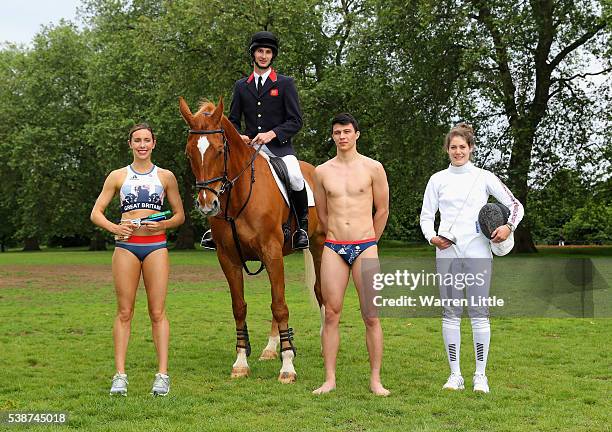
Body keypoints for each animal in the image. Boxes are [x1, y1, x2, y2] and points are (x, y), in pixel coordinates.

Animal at [179, 97, 326, 382]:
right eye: (190, 153)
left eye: (218, 151)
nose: (207, 205)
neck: (238, 196)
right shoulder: (229, 258)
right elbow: (241, 307)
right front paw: (241, 362)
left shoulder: (270, 251)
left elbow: (280, 306)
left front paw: (287, 366)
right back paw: (270, 349)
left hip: (318, 245)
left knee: (319, 291)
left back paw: (326, 341)